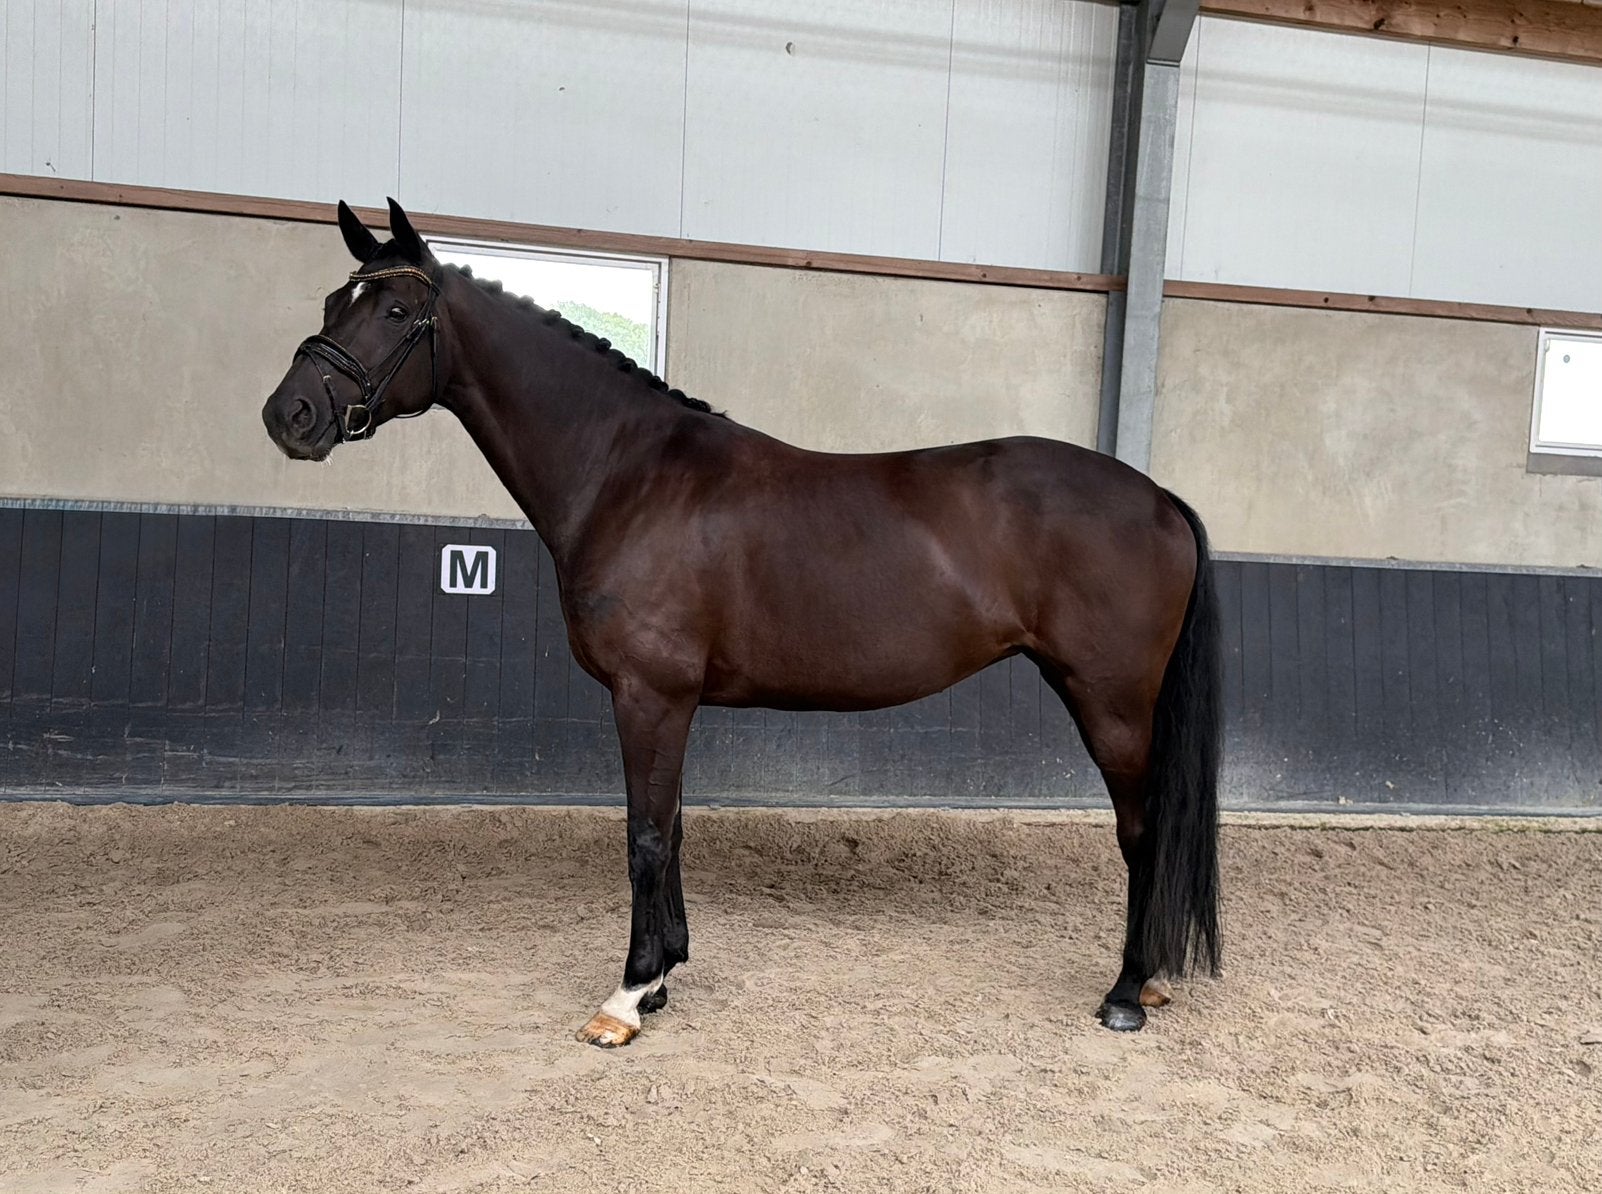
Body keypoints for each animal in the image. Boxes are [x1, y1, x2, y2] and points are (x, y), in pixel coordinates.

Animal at [262, 199, 1222, 1047]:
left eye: (394, 310)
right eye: (333, 303)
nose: (289, 416)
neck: (628, 474)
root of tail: (1159, 496)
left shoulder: (648, 695)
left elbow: (646, 836)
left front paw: (625, 997)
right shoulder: (672, 703)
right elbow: (675, 824)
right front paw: (664, 976)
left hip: (1110, 703)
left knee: (1142, 833)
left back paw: (1128, 993)